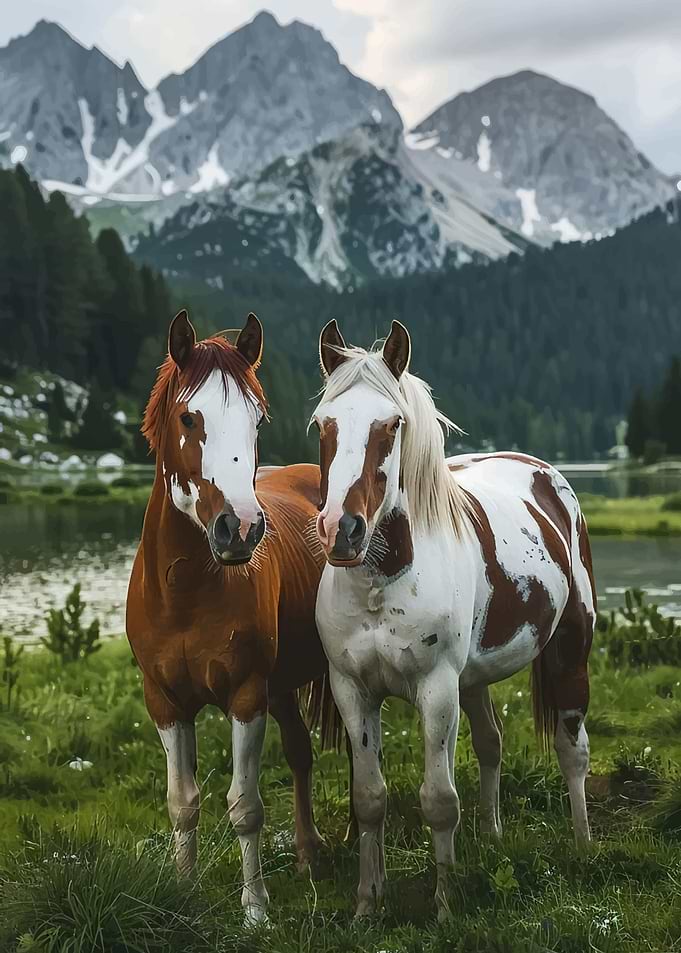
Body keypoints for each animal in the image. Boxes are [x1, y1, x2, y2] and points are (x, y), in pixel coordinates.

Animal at [126, 310, 335, 924]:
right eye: (187, 416)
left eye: (257, 418)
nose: (238, 529)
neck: (184, 596)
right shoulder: (165, 704)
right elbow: (182, 803)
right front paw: (183, 892)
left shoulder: (246, 696)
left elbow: (245, 805)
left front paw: (256, 910)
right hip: (282, 685)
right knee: (300, 754)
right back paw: (307, 851)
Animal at [311, 319, 596, 921]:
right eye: (325, 423)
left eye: (392, 424)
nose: (341, 530)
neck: (382, 584)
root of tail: (545, 474)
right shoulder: (353, 690)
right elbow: (369, 800)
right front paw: (367, 903)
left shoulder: (437, 689)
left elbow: (439, 801)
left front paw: (443, 906)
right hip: (475, 679)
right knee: (492, 744)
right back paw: (491, 836)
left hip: (570, 650)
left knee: (572, 749)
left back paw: (584, 845)